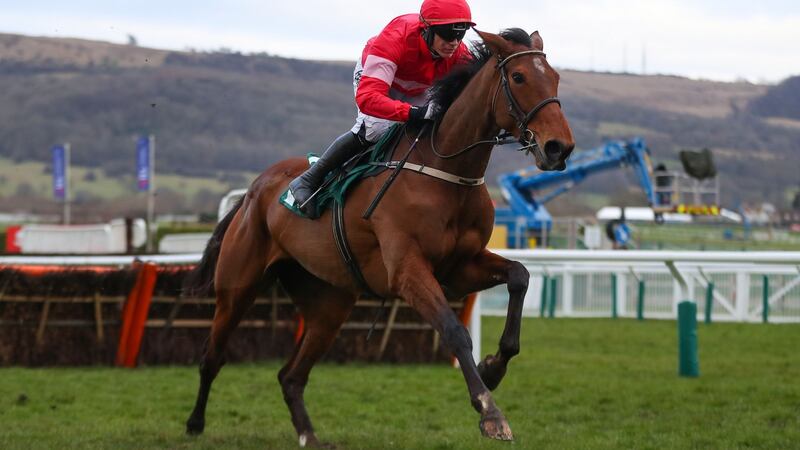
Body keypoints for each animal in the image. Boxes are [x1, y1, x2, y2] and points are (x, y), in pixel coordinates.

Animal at [186, 29, 576, 446]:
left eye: (555, 77)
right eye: (518, 77)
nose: (559, 147)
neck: (445, 171)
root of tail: (253, 190)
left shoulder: (460, 267)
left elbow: (520, 275)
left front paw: (493, 367)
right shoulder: (407, 271)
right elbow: (454, 330)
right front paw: (491, 413)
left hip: (329, 304)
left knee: (291, 375)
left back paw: (309, 435)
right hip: (238, 287)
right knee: (212, 356)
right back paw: (194, 423)